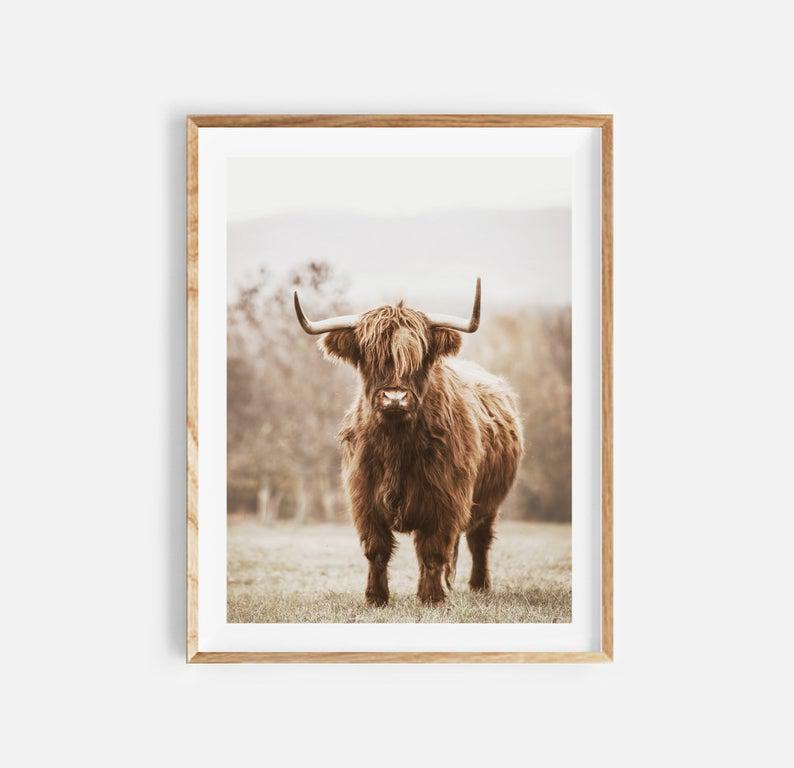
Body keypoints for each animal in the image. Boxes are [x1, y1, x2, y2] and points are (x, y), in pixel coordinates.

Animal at [294, 279, 524, 605]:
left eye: (419, 356)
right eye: (370, 356)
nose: (394, 397)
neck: (396, 444)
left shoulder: (445, 499)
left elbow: (433, 550)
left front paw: (432, 598)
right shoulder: (364, 499)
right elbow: (377, 550)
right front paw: (376, 597)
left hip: (489, 502)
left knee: (478, 540)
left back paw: (479, 585)